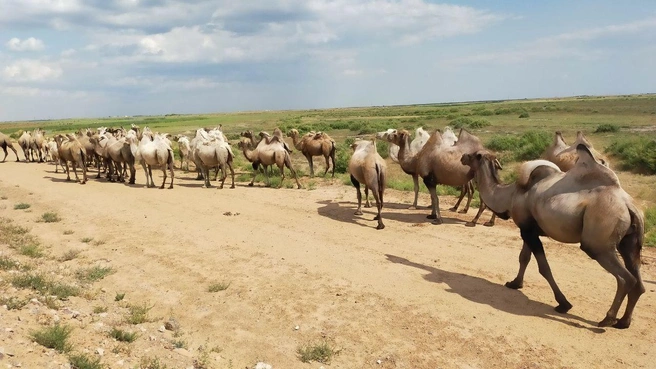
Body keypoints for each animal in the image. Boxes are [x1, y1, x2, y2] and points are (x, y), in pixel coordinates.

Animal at [462, 145, 644, 330]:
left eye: (474, 155)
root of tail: (628, 206)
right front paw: (515, 283)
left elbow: (544, 268)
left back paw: (608, 319)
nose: (463, 156)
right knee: (638, 281)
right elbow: (524, 258)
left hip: (598, 243)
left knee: (626, 278)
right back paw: (623, 322)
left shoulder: (527, 231)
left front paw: (563, 304)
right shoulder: (528, 229)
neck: (511, 195)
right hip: (629, 242)